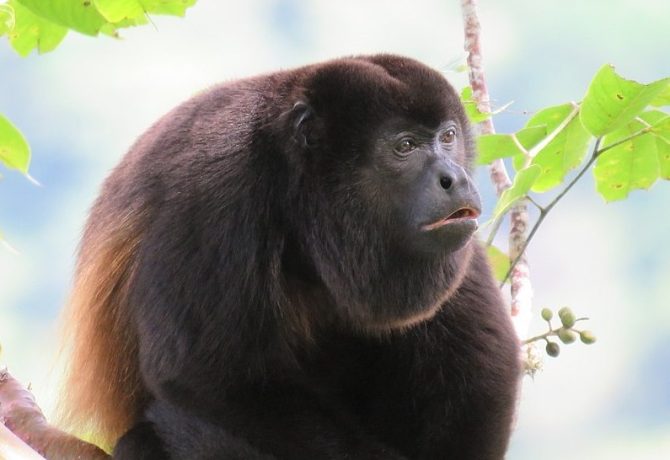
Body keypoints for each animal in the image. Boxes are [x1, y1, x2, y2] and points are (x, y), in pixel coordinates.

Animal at [60, 54, 524, 460]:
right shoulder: (213, 186)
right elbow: (203, 373)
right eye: (404, 146)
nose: (455, 178)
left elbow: (483, 372)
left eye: (447, 137)